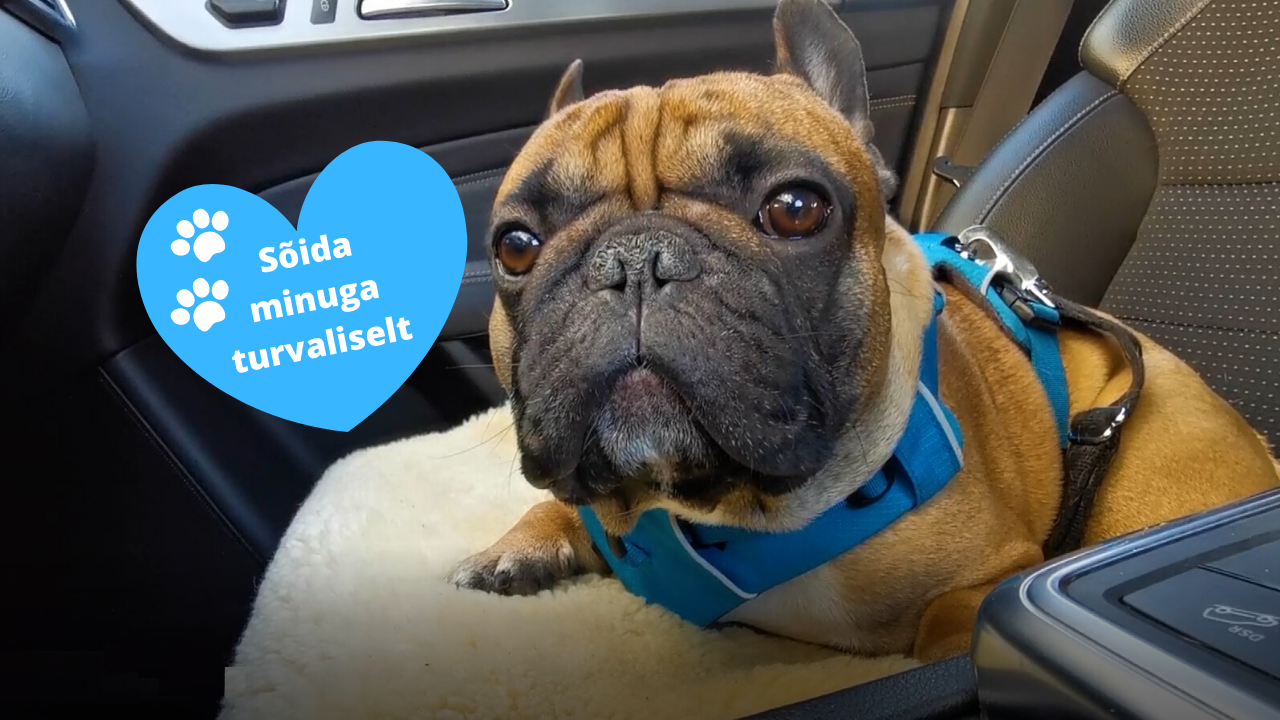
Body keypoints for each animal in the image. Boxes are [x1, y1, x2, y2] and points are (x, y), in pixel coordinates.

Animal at [447, 0, 1280, 662]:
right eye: (514, 245)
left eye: (796, 209)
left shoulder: (994, 575)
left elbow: (948, 629)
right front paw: (514, 549)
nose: (633, 260)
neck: (712, 510)